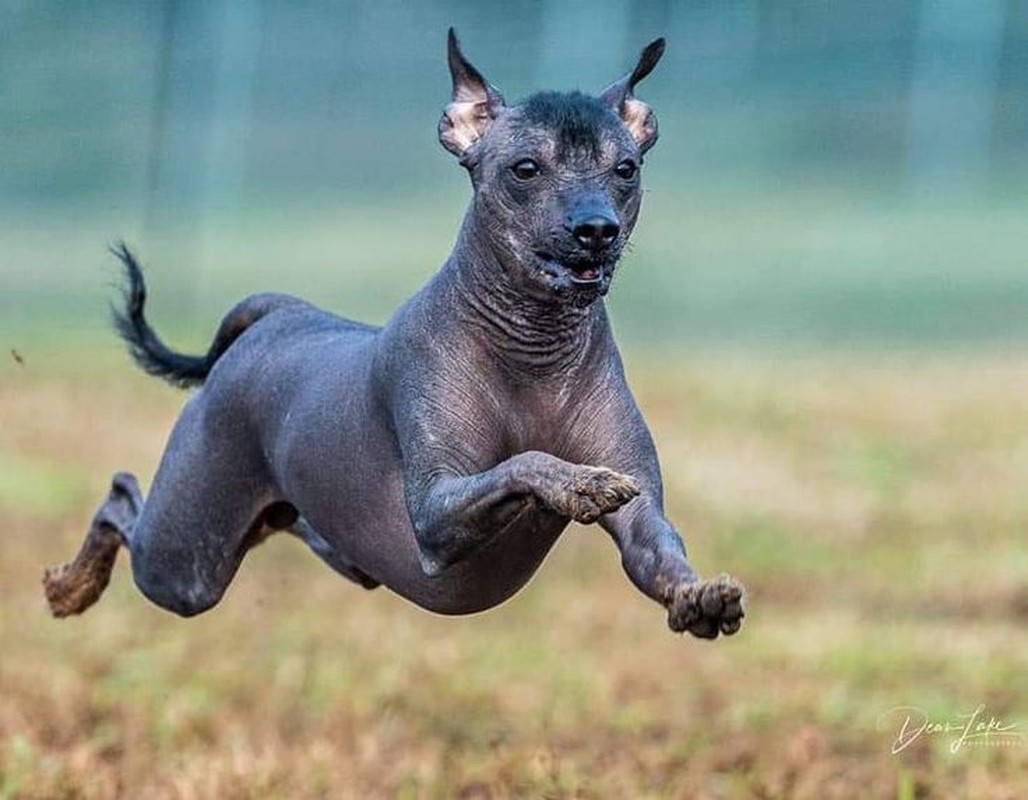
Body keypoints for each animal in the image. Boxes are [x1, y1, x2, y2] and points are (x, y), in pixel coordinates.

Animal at [42, 31, 748, 637]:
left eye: (625, 169)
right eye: (525, 169)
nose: (597, 228)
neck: (534, 348)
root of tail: (283, 313)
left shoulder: (642, 517)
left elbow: (655, 547)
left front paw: (698, 597)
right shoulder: (435, 512)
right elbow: (526, 463)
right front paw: (577, 483)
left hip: (312, 541)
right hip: (185, 559)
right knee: (121, 499)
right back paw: (71, 585)